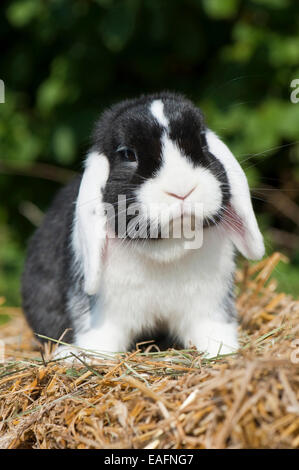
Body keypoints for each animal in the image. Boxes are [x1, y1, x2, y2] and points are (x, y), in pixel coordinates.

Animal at [21, 91, 264, 360]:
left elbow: (215, 335)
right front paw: (81, 359)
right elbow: (99, 343)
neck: (168, 249)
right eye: (128, 154)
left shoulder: (209, 307)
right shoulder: (103, 317)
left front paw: (223, 353)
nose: (181, 189)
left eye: (202, 141)